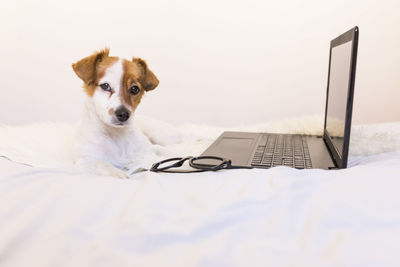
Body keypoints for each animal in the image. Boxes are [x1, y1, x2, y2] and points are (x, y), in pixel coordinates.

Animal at [72, 49, 166, 179]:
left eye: (135, 89)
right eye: (105, 86)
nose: (123, 114)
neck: (117, 135)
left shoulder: (146, 151)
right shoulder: (84, 161)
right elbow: (102, 164)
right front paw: (119, 173)